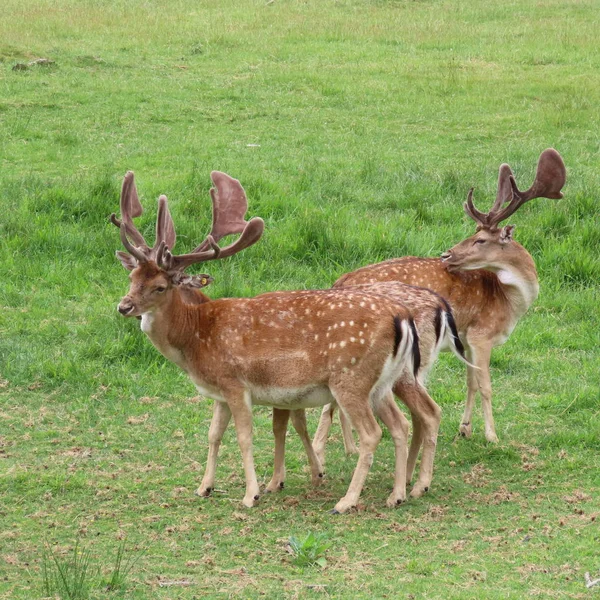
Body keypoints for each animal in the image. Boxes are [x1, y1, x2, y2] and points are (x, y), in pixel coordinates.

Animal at [111, 169, 422, 510]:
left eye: (160, 287)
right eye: (131, 278)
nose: (124, 307)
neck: (196, 339)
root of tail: (401, 316)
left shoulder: (235, 383)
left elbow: (244, 437)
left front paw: (251, 494)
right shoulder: (220, 393)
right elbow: (213, 434)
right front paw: (204, 487)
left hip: (350, 377)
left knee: (372, 433)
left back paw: (346, 501)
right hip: (381, 383)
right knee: (400, 424)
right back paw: (397, 494)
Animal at [316, 150, 564, 450]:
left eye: (480, 239)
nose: (447, 254)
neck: (509, 302)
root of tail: (339, 282)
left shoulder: (466, 340)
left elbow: (470, 382)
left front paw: (465, 429)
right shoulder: (482, 334)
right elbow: (486, 385)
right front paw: (492, 436)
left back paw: (349, 448)